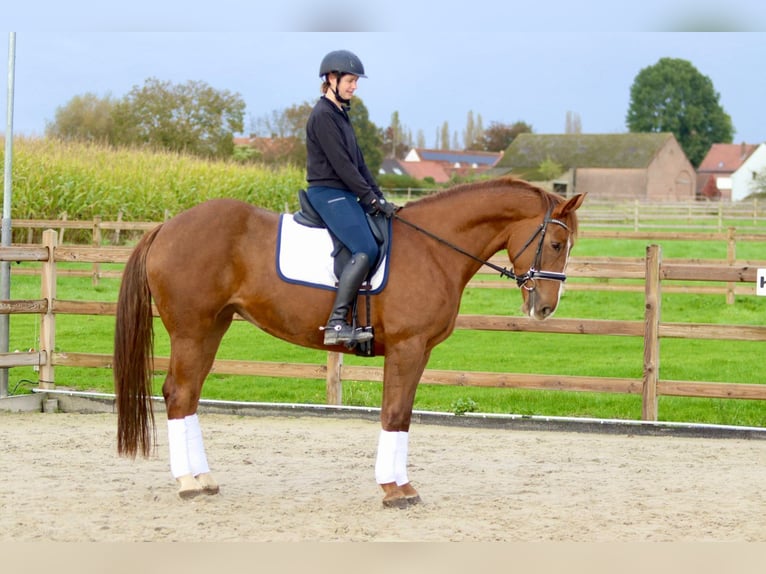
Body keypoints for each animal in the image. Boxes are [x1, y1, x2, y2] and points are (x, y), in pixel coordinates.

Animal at [115, 176, 588, 508]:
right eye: (556, 243)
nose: (545, 308)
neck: (432, 249)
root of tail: (166, 226)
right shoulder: (407, 348)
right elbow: (394, 414)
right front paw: (394, 490)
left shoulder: (419, 351)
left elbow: (402, 416)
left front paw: (401, 485)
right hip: (192, 330)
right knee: (179, 394)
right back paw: (187, 483)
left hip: (212, 329)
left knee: (188, 395)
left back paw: (204, 478)